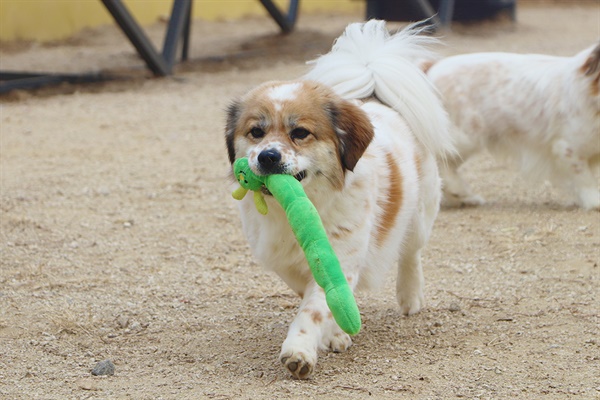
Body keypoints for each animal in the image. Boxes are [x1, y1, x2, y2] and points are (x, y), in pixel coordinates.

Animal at [225, 21, 454, 378]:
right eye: (256, 132)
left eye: (300, 133)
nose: (267, 156)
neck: (300, 208)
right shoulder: (286, 263)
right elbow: (315, 297)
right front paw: (332, 334)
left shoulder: (338, 259)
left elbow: (314, 309)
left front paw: (300, 350)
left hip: (419, 216)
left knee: (411, 253)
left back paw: (410, 296)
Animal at [426, 43, 600, 211]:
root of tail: (430, 68)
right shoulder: (567, 148)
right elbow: (585, 178)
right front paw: (594, 201)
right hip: (465, 137)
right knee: (441, 161)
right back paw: (460, 192)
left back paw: (463, 198)